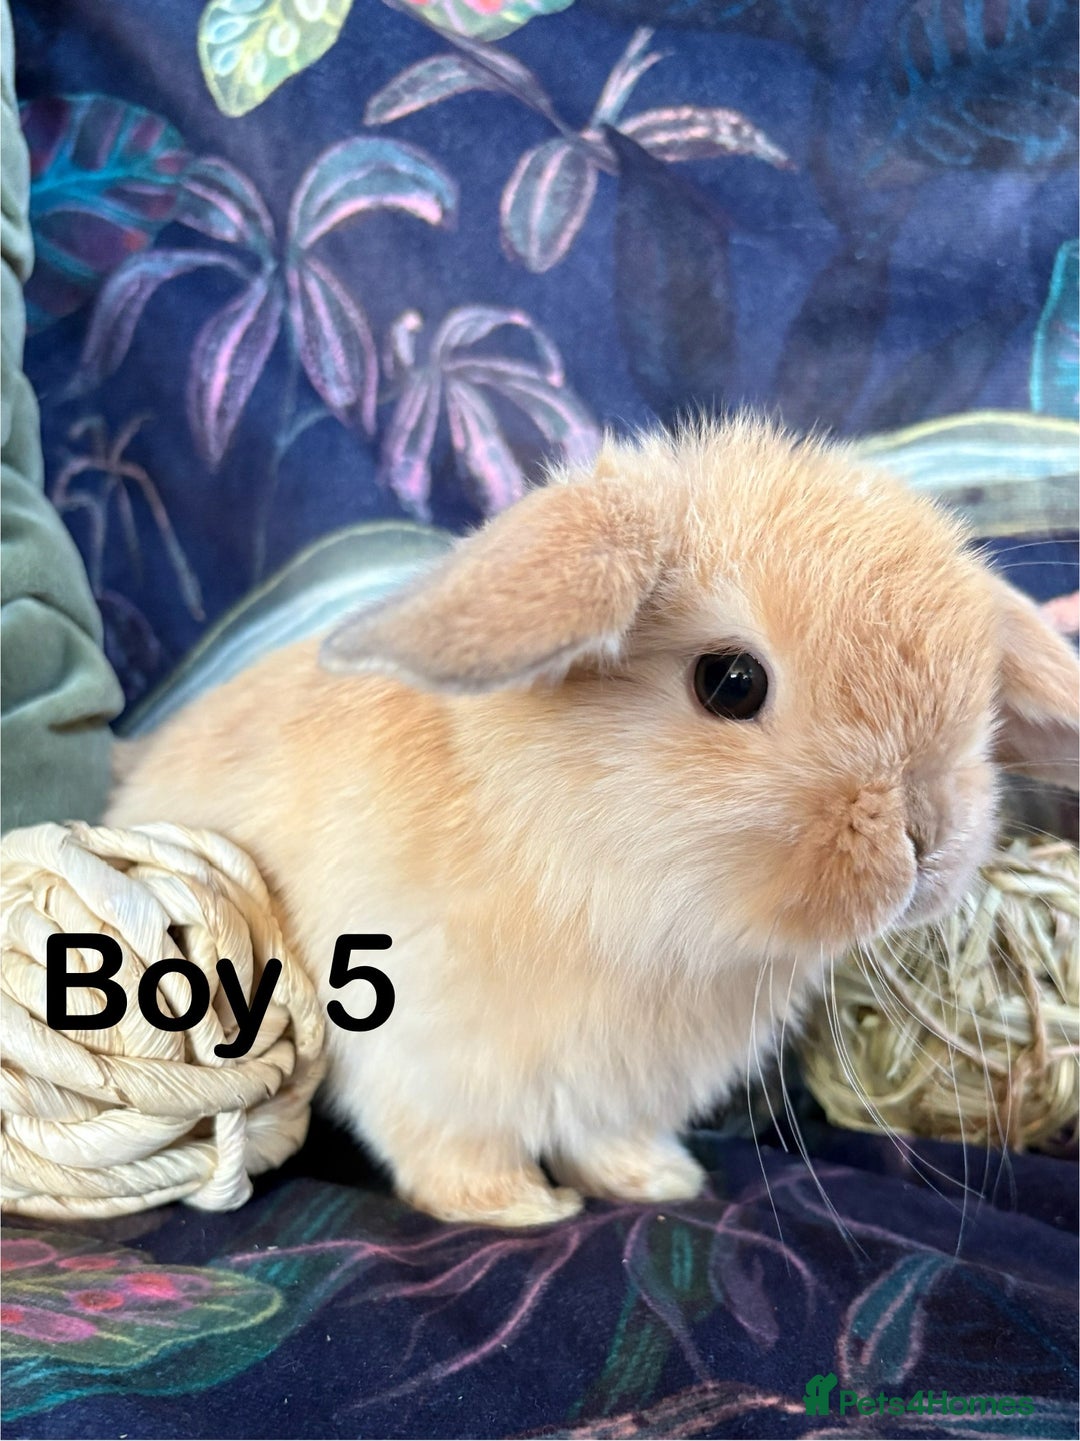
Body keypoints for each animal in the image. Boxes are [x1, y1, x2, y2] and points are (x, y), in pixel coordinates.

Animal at [106, 416, 1080, 1228]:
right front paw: (521, 1209)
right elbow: (452, 1153)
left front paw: (659, 1182)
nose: (929, 837)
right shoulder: (425, 1065)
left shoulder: (619, 1093)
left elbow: (611, 1144)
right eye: (732, 682)